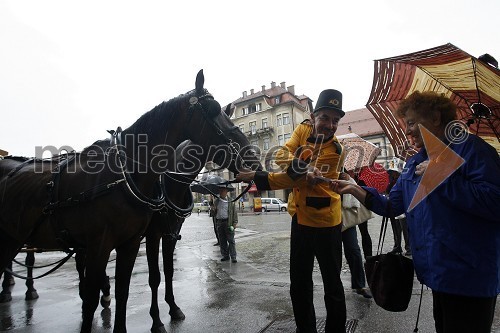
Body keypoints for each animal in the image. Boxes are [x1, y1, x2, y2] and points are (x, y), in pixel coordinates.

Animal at [1, 68, 262, 330]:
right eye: (213, 109)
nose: (253, 157)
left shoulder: (161, 235)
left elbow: (156, 277)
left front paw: (172, 308)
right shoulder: (141, 236)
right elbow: (153, 277)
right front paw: (156, 320)